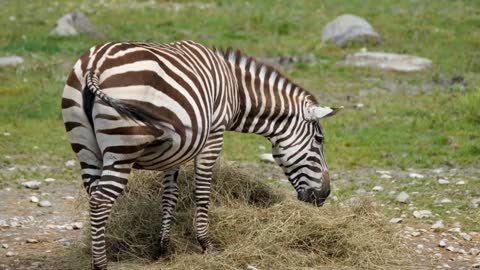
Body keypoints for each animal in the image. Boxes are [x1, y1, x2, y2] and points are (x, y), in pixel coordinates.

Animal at [62, 39, 340, 268]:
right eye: (319, 140)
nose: (324, 195)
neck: (236, 91)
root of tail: (96, 65)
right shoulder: (214, 134)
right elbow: (203, 191)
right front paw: (206, 244)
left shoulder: (175, 149)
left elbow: (169, 196)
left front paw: (163, 248)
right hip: (122, 150)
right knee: (101, 200)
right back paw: (101, 264)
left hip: (86, 148)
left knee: (93, 195)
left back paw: (96, 253)